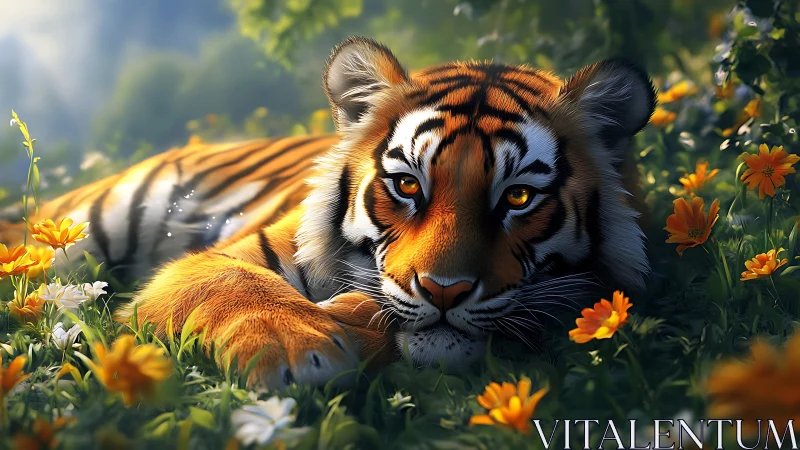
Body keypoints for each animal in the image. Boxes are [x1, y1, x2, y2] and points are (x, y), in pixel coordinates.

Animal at [1, 36, 656, 389]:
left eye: (518, 198)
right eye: (406, 185)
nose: (444, 292)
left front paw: (352, 321)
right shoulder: (212, 262)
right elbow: (234, 284)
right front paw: (299, 349)